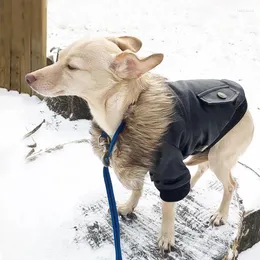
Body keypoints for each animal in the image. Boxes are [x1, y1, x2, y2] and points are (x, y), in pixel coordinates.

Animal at [25, 35, 254, 253]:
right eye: (59, 57)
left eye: (72, 67)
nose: (28, 77)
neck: (126, 110)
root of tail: (248, 110)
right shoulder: (135, 161)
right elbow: (137, 188)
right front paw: (129, 207)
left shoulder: (169, 171)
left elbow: (167, 208)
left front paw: (166, 237)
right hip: (208, 147)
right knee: (203, 168)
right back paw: (192, 187)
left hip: (219, 158)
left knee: (231, 184)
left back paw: (221, 214)